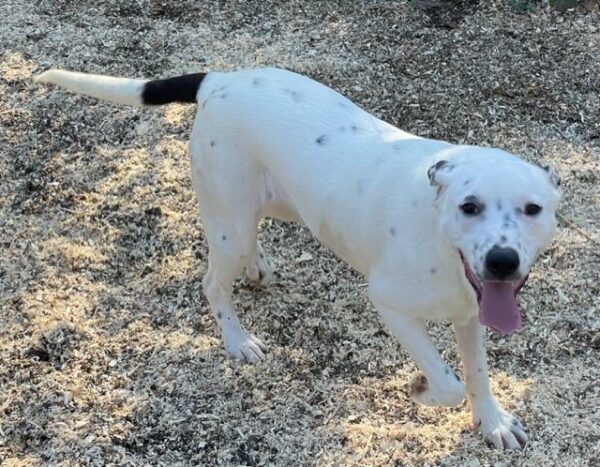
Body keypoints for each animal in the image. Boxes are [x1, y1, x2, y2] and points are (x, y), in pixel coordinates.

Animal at [35, 66, 560, 450]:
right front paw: (422, 389)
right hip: (231, 223)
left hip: (278, 204)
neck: (439, 233)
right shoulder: (390, 304)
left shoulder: (470, 312)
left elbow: (476, 373)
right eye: (469, 206)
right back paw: (238, 339)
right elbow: (448, 381)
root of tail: (219, 79)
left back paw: (257, 267)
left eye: (533, 208)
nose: (502, 261)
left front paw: (491, 422)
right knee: (213, 281)